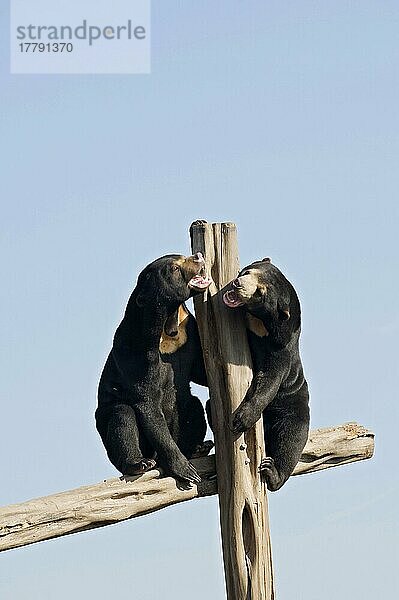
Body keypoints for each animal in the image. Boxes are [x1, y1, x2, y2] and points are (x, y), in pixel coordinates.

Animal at [96, 252, 212, 482]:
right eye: (175, 268)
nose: (198, 256)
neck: (168, 324)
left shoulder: (189, 331)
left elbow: (199, 372)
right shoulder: (137, 353)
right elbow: (147, 403)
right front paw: (186, 471)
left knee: (193, 404)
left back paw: (198, 448)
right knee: (122, 414)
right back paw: (138, 463)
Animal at [223, 258, 310, 492]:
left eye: (260, 293)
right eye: (247, 272)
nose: (237, 284)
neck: (261, 325)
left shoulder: (280, 350)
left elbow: (269, 380)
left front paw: (240, 419)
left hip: (294, 409)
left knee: (291, 440)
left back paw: (272, 472)